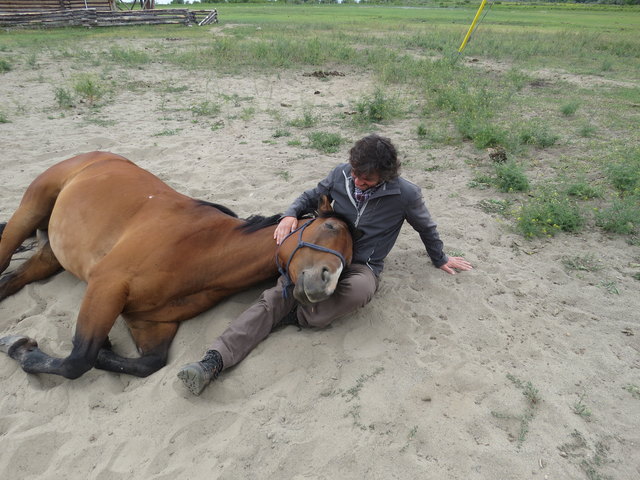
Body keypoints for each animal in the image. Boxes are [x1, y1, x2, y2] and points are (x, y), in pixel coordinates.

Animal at [0, 152, 356, 380]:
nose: (325, 284)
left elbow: (145, 364)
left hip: (50, 255)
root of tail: (94, 155)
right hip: (29, 211)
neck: (201, 251)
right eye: (330, 227)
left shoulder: (151, 325)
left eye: (351, 260)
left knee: (8, 282)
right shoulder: (106, 284)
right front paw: (20, 346)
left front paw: (104, 348)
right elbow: (77, 360)